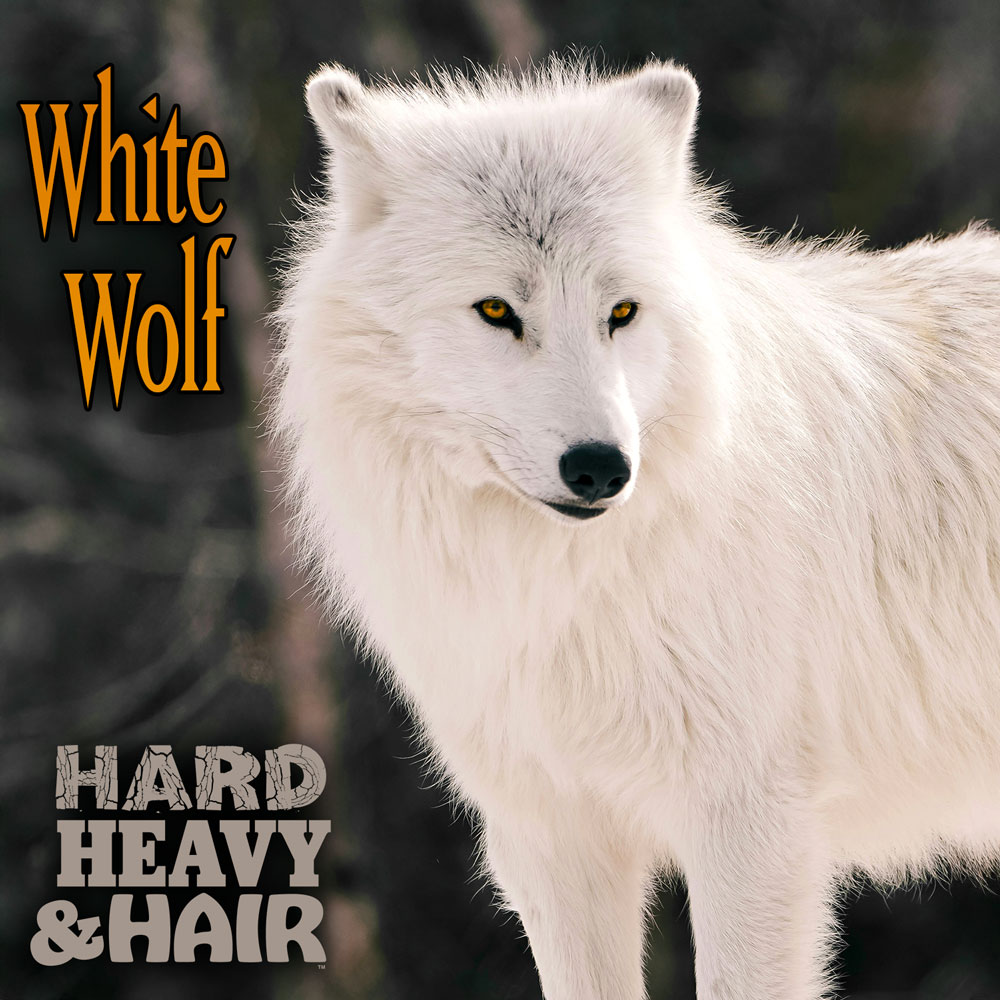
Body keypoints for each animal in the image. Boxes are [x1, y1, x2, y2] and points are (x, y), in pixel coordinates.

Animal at [272, 56, 1000, 1000]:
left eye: (621, 312)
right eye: (497, 311)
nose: (600, 467)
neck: (567, 595)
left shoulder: (750, 827)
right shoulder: (552, 839)